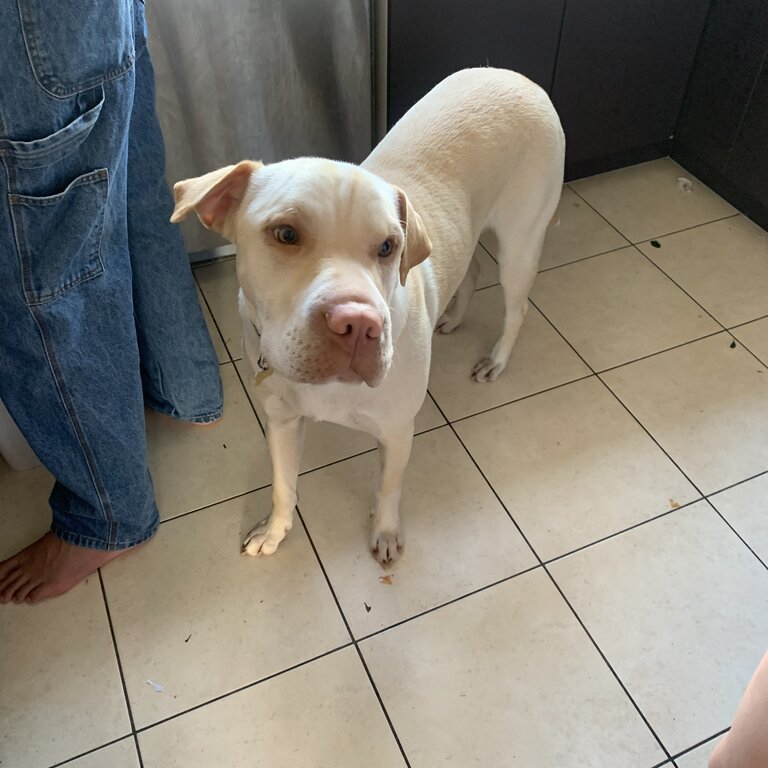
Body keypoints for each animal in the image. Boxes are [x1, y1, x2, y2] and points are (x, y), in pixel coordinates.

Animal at [171, 69, 564, 568]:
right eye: (285, 234)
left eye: (387, 246)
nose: (358, 326)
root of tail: (519, 77)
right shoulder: (280, 420)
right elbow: (282, 486)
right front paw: (274, 531)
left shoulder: (397, 430)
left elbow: (389, 487)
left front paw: (386, 533)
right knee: (471, 267)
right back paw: (453, 317)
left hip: (520, 242)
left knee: (517, 307)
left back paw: (495, 359)